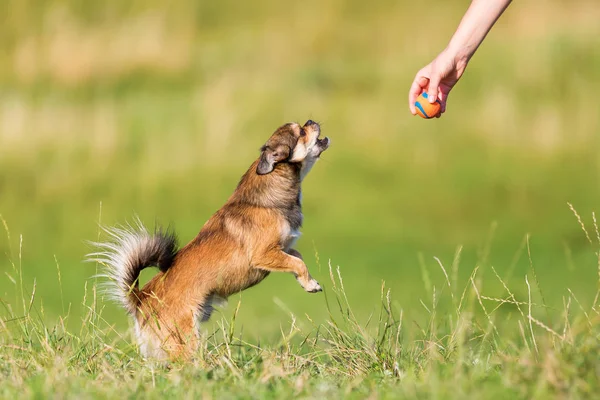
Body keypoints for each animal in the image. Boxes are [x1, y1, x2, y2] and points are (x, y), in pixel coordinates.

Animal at [89, 119, 330, 360]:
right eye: (301, 132)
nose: (311, 121)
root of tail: (141, 299)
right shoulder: (264, 254)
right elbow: (297, 263)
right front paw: (310, 284)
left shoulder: (283, 248)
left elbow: (296, 257)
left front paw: (308, 282)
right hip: (185, 341)